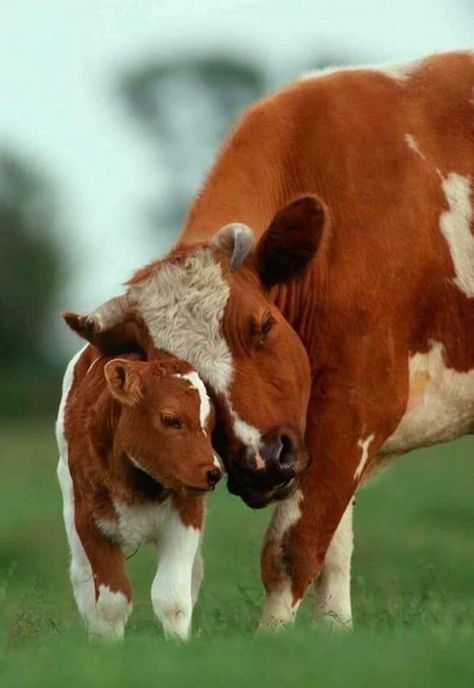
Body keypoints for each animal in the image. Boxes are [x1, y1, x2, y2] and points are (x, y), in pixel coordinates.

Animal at [54, 342, 221, 640]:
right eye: (170, 418)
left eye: (210, 424)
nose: (213, 473)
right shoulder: (89, 522)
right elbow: (112, 603)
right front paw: (109, 645)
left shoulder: (185, 518)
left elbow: (172, 598)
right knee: (82, 577)